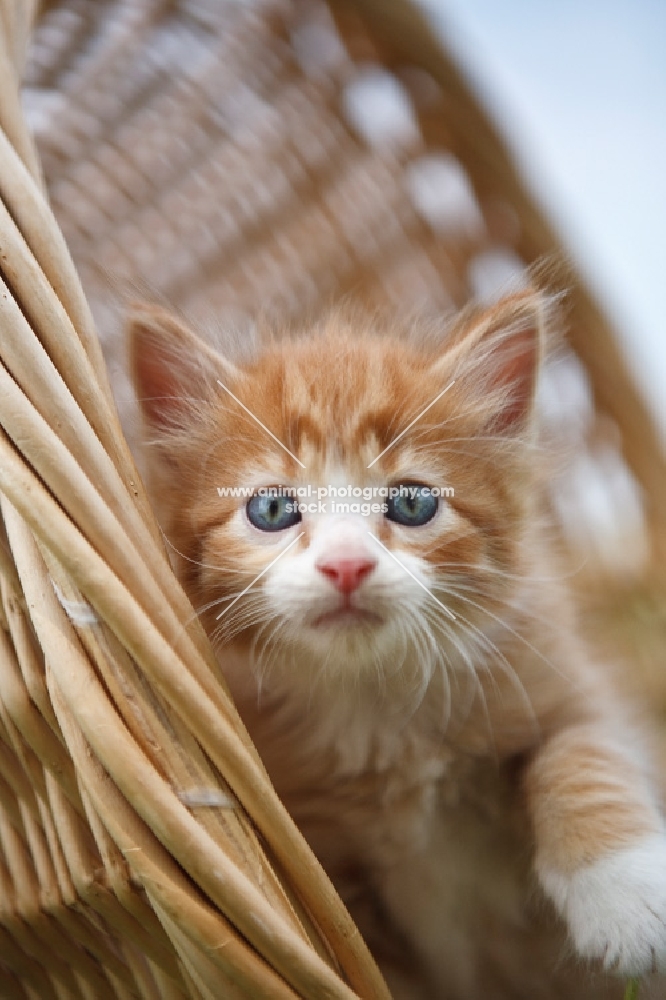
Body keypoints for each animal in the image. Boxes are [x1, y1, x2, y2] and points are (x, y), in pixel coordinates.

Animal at [127, 296, 664, 1000]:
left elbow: (582, 748)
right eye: (271, 510)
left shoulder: (561, 680)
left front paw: (626, 899)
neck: (377, 713)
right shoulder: (334, 869)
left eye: (411, 504)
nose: (347, 565)